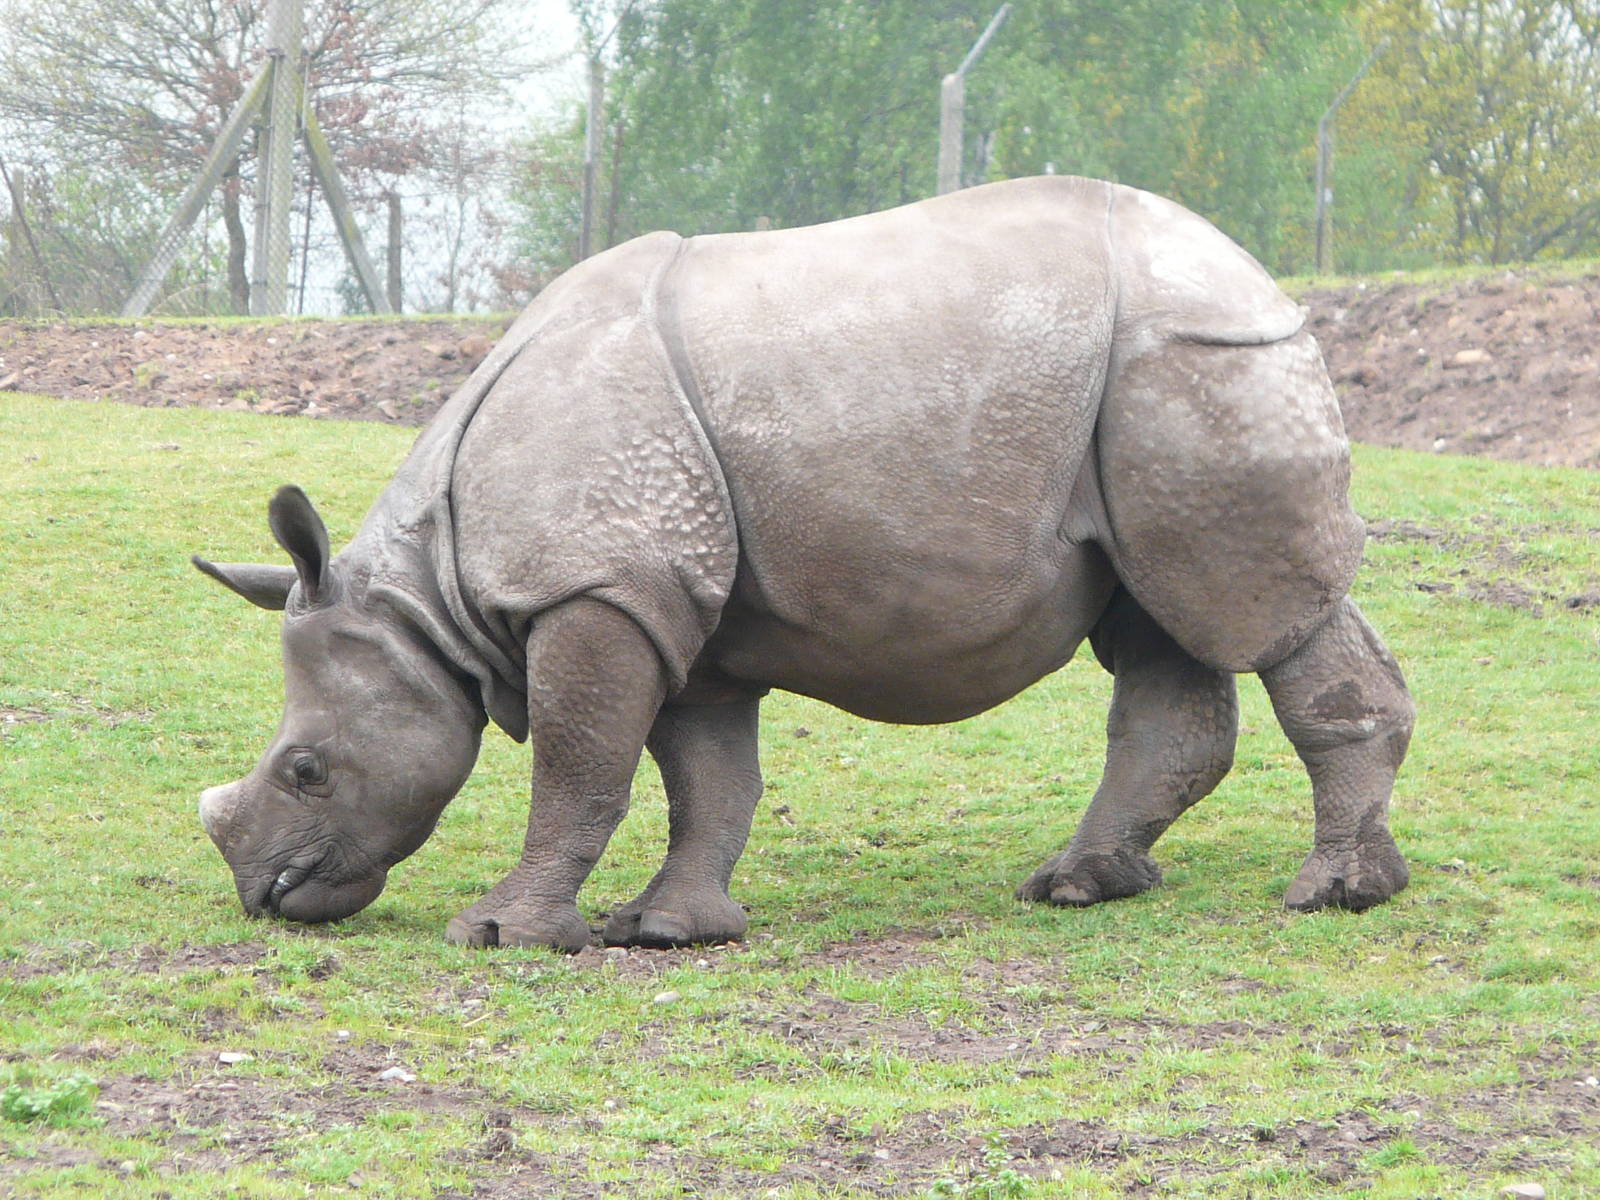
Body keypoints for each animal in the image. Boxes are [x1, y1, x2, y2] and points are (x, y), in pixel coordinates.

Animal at [194, 176, 1413, 950]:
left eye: (308, 771)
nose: (262, 894)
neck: (434, 600)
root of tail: (1253, 271)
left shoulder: (598, 588)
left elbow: (581, 770)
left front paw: (499, 934)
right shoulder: (675, 601)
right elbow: (707, 777)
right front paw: (668, 931)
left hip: (1198, 365)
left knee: (1259, 614)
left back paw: (1330, 896)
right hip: (1144, 390)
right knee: (1159, 624)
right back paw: (1080, 889)